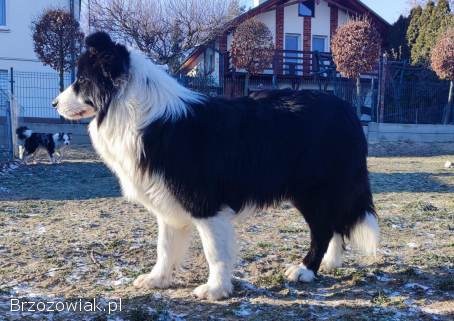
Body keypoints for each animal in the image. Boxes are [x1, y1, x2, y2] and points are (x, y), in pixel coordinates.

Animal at [52, 32, 380, 300]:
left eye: (82, 81)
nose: (54, 103)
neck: (139, 113)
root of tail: (347, 110)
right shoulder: (167, 203)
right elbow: (165, 247)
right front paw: (158, 279)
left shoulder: (205, 204)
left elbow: (214, 251)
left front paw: (216, 289)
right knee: (335, 225)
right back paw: (329, 263)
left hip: (312, 190)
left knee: (323, 228)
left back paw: (306, 269)